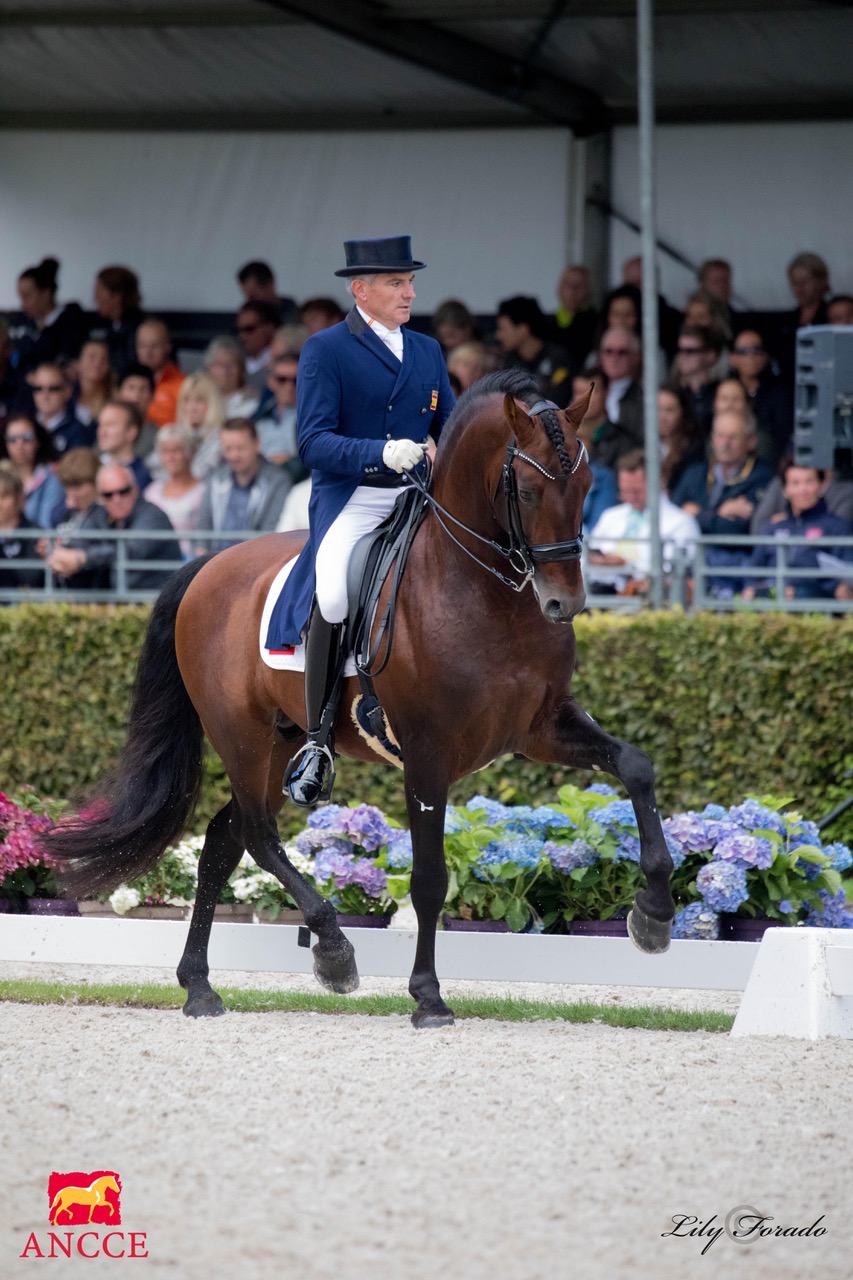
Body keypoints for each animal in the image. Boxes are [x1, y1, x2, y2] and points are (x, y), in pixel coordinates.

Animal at [44, 373, 671, 1029]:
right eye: (525, 489)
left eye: (588, 484)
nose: (563, 603)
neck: (485, 592)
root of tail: (210, 564)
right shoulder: (427, 753)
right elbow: (429, 878)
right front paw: (427, 996)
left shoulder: (540, 727)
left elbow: (635, 765)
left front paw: (653, 914)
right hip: (240, 735)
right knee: (259, 834)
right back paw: (332, 950)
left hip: (280, 741)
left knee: (222, 839)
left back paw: (199, 987)